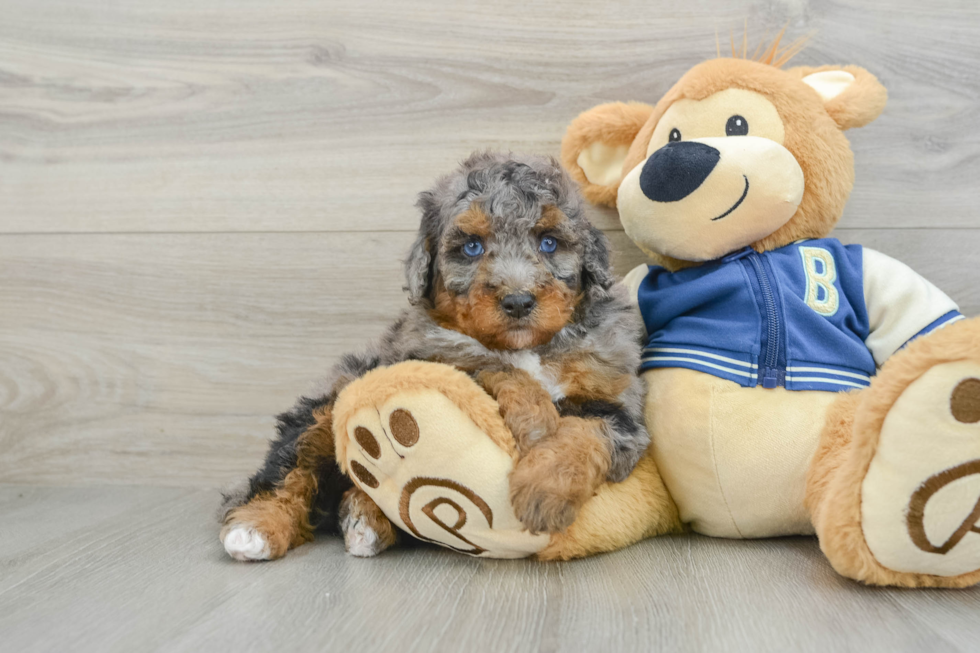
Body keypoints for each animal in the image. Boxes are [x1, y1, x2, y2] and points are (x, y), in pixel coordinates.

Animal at [223, 150, 652, 556]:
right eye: (472, 247)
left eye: (549, 242)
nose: (517, 302)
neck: (527, 346)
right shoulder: (424, 355)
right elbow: (487, 364)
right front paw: (536, 420)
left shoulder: (616, 402)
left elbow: (585, 431)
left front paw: (543, 493)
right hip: (331, 399)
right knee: (289, 465)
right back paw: (256, 527)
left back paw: (366, 519)